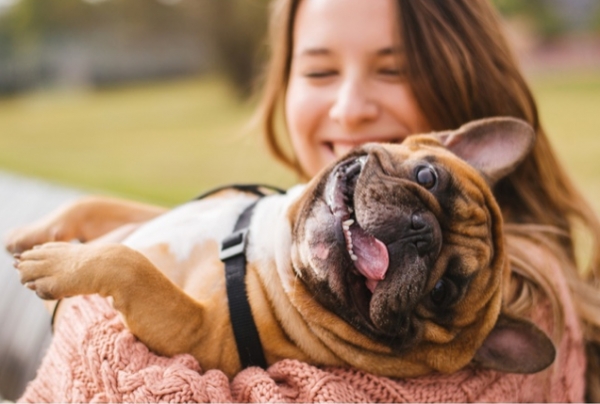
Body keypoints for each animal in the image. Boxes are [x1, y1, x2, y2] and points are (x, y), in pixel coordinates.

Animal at [7, 117, 556, 378]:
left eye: (442, 291)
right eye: (427, 177)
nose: (422, 232)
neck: (271, 246)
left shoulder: (194, 332)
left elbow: (130, 264)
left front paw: (55, 263)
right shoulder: (153, 216)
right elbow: (97, 206)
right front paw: (35, 233)